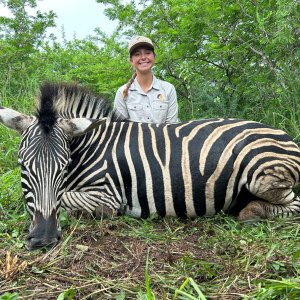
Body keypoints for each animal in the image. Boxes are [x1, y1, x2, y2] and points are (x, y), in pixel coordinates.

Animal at [0, 83, 300, 250]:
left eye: (63, 167)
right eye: (23, 166)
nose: (43, 238)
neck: (91, 147)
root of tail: (282, 133)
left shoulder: (108, 195)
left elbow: (66, 199)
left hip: (263, 177)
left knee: (293, 203)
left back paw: (252, 210)